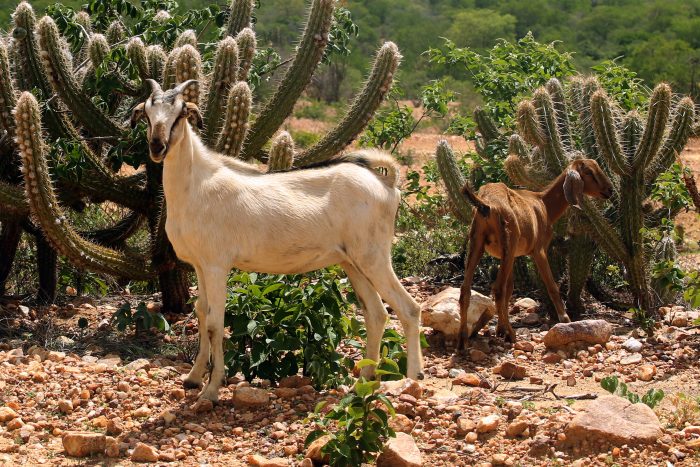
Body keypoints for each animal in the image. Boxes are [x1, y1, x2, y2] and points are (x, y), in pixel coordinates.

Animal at [132, 80, 424, 402]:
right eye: (147, 114)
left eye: (181, 113)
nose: (157, 147)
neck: (196, 186)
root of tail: (386, 183)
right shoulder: (199, 265)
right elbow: (200, 313)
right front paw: (193, 378)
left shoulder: (217, 265)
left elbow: (214, 323)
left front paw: (211, 389)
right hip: (353, 263)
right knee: (376, 313)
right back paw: (365, 380)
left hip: (374, 256)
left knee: (408, 308)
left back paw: (412, 380)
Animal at [456, 159, 608, 350]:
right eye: (588, 172)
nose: (609, 190)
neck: (544, 205)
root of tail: (487, 205)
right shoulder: (539, 250)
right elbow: (551, 286)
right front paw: (565, 319)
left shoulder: (512, 257)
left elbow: (510, 289)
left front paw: (500, 329)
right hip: (507, 243)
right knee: (497, 289)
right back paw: (511, 335)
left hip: (478, 244)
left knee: (466, 289)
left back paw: (463, 340)